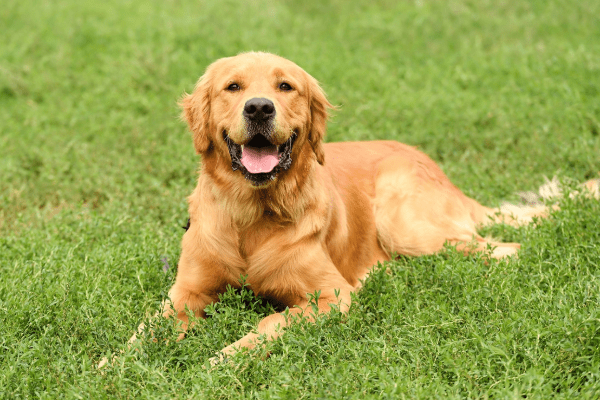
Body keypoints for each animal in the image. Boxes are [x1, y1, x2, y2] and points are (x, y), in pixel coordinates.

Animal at [143, 51, 596, 360]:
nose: (258, 107)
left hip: (405, 223)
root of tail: (442, 174)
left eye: (285, 87)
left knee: (503, 250)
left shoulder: (329, 296)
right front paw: (125, 363)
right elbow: (145, 329)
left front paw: (219, 360)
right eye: (233, 87)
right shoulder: (185, 292)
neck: (252, 215)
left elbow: (268, 324)